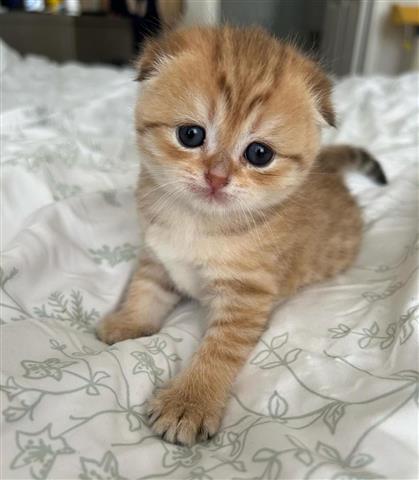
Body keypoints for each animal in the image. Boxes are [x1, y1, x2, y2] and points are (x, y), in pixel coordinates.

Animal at [96, 26, 388, 446]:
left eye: (259, 153)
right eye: (190, 134)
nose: (217, 177)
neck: (198, 222)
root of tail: (329, 167)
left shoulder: (247, 296)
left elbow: (218, 351)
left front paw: (190, 401)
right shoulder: (157, 256)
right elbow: (144, 290)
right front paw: (129, 321)